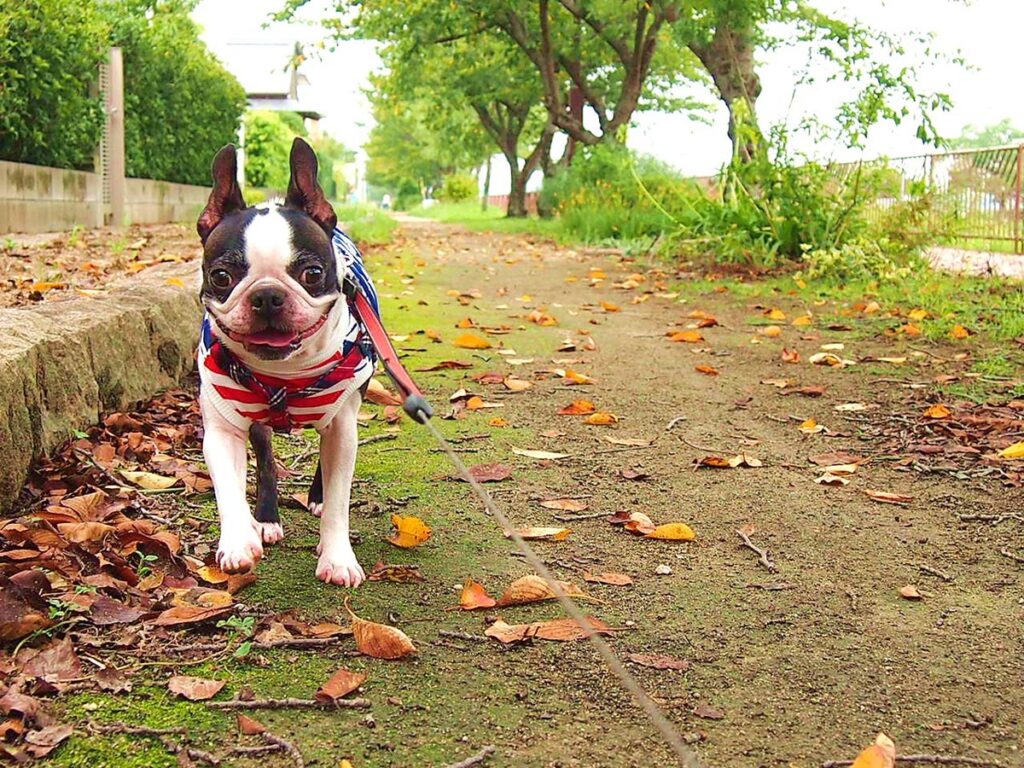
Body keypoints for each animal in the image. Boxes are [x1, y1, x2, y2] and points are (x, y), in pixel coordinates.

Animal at [195, 138, 372, 585]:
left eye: (312, 272)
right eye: (221, 276)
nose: (267, 295)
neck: (286, 371)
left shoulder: (344, 427)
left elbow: (340, 497)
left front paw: (337, 557)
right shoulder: (222, 430)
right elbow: (228, 488)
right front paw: (238, 539)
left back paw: (316, 499)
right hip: (257, 425)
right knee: (267, 462)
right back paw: (266, 518)